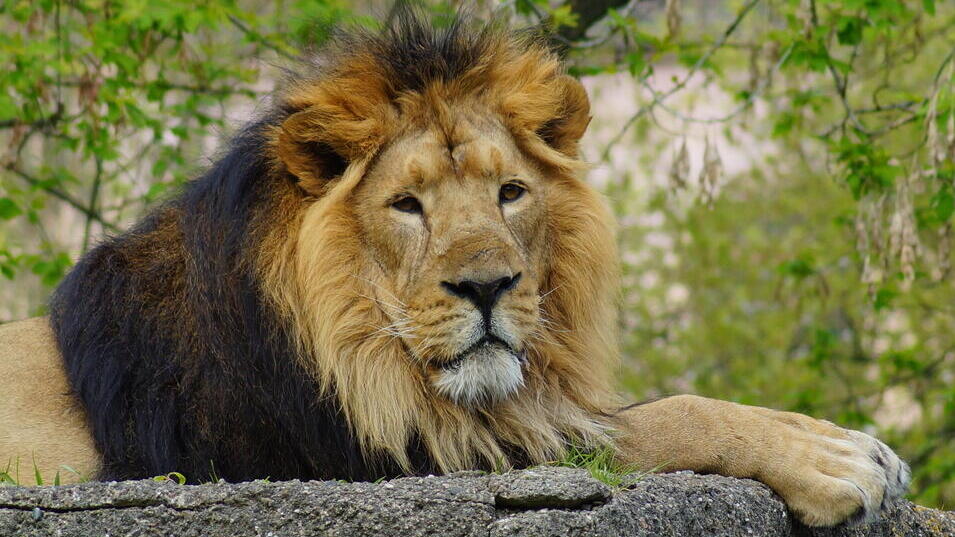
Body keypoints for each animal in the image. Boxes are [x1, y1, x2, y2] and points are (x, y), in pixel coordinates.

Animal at [0, 11, 908, 527]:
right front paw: (833, 459)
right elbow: (649, 420)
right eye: (406, 204)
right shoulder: (358, 454)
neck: (353, 341)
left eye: (509, 192)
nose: (486, 286)